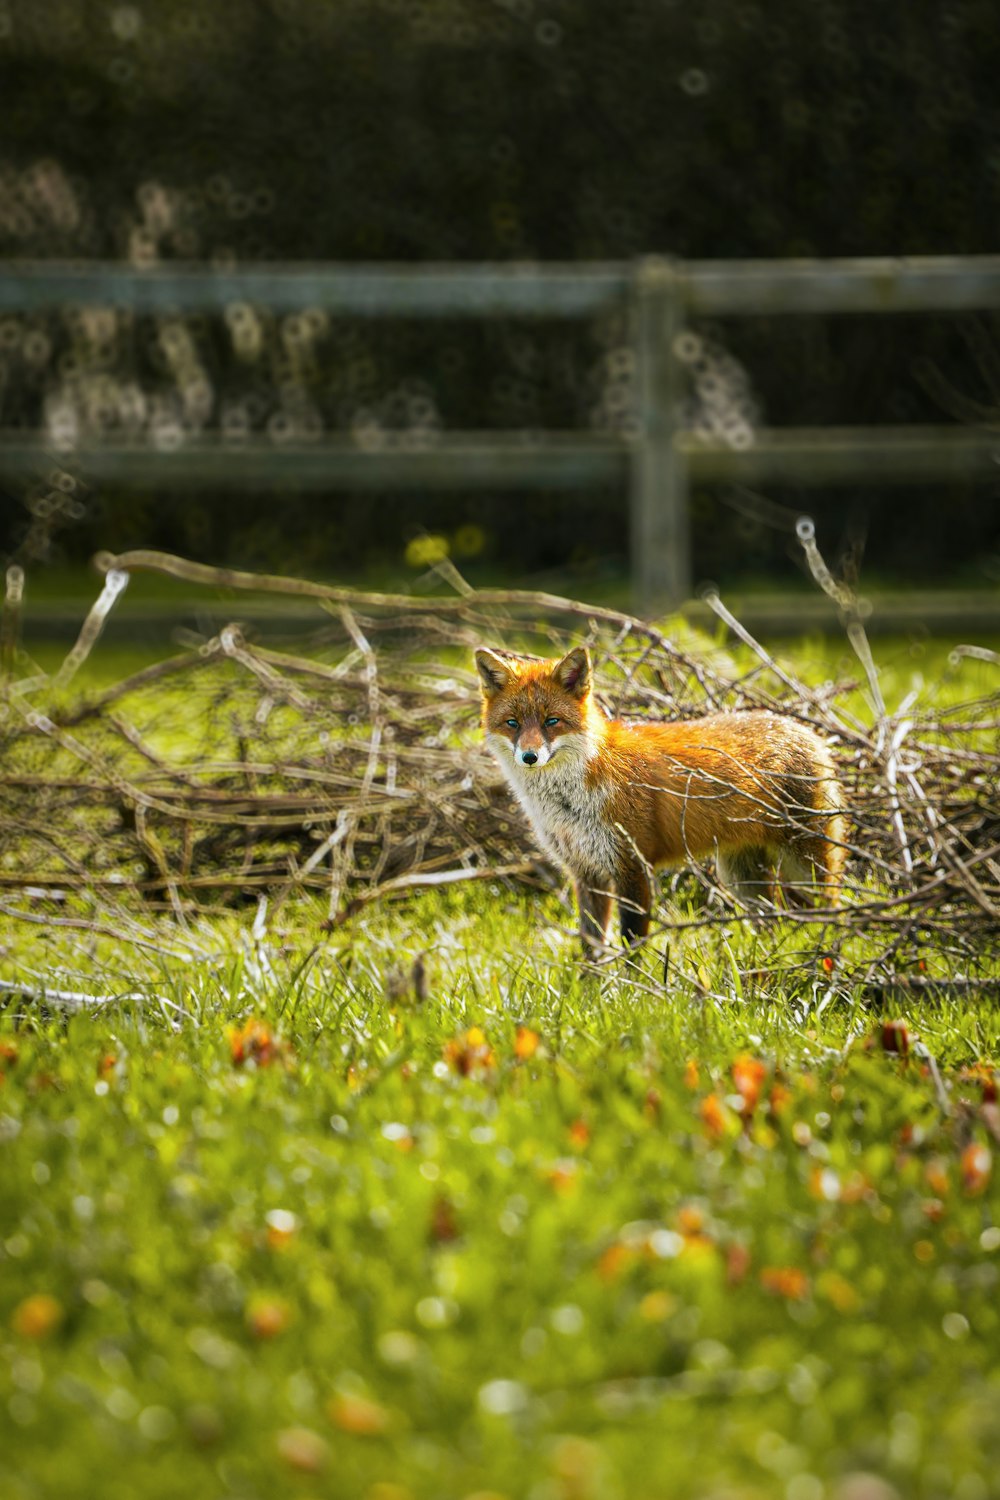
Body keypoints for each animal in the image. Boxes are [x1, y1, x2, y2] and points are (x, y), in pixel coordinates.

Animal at [476, 645, 845, 948]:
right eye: (512, 723)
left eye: (552, 721)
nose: (529, 757)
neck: (569, 802)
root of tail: (808, 730)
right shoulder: (586, 872)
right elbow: (592, 949)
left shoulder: (633, 866)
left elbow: (630, 945)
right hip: (742, 877)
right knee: (775, 922)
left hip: (805, 866)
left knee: (833, 912)